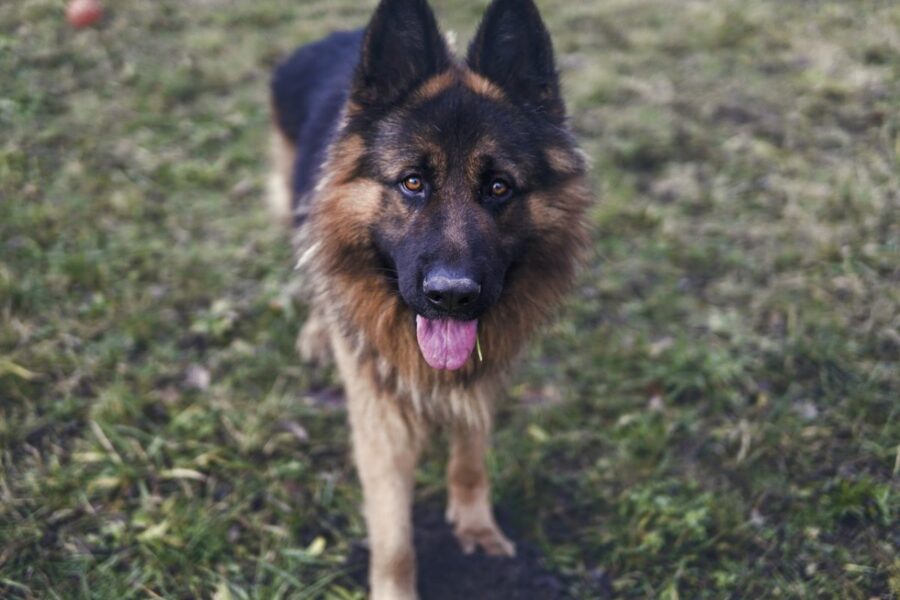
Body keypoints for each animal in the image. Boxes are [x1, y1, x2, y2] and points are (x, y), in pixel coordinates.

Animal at [268, 0, 592, 596]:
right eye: (413, 182)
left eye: (499, 187)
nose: (452, 297)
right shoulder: (379, 415)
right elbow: (394, 537)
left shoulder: (483, 379)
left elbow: (470, 457)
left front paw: (476, 528)